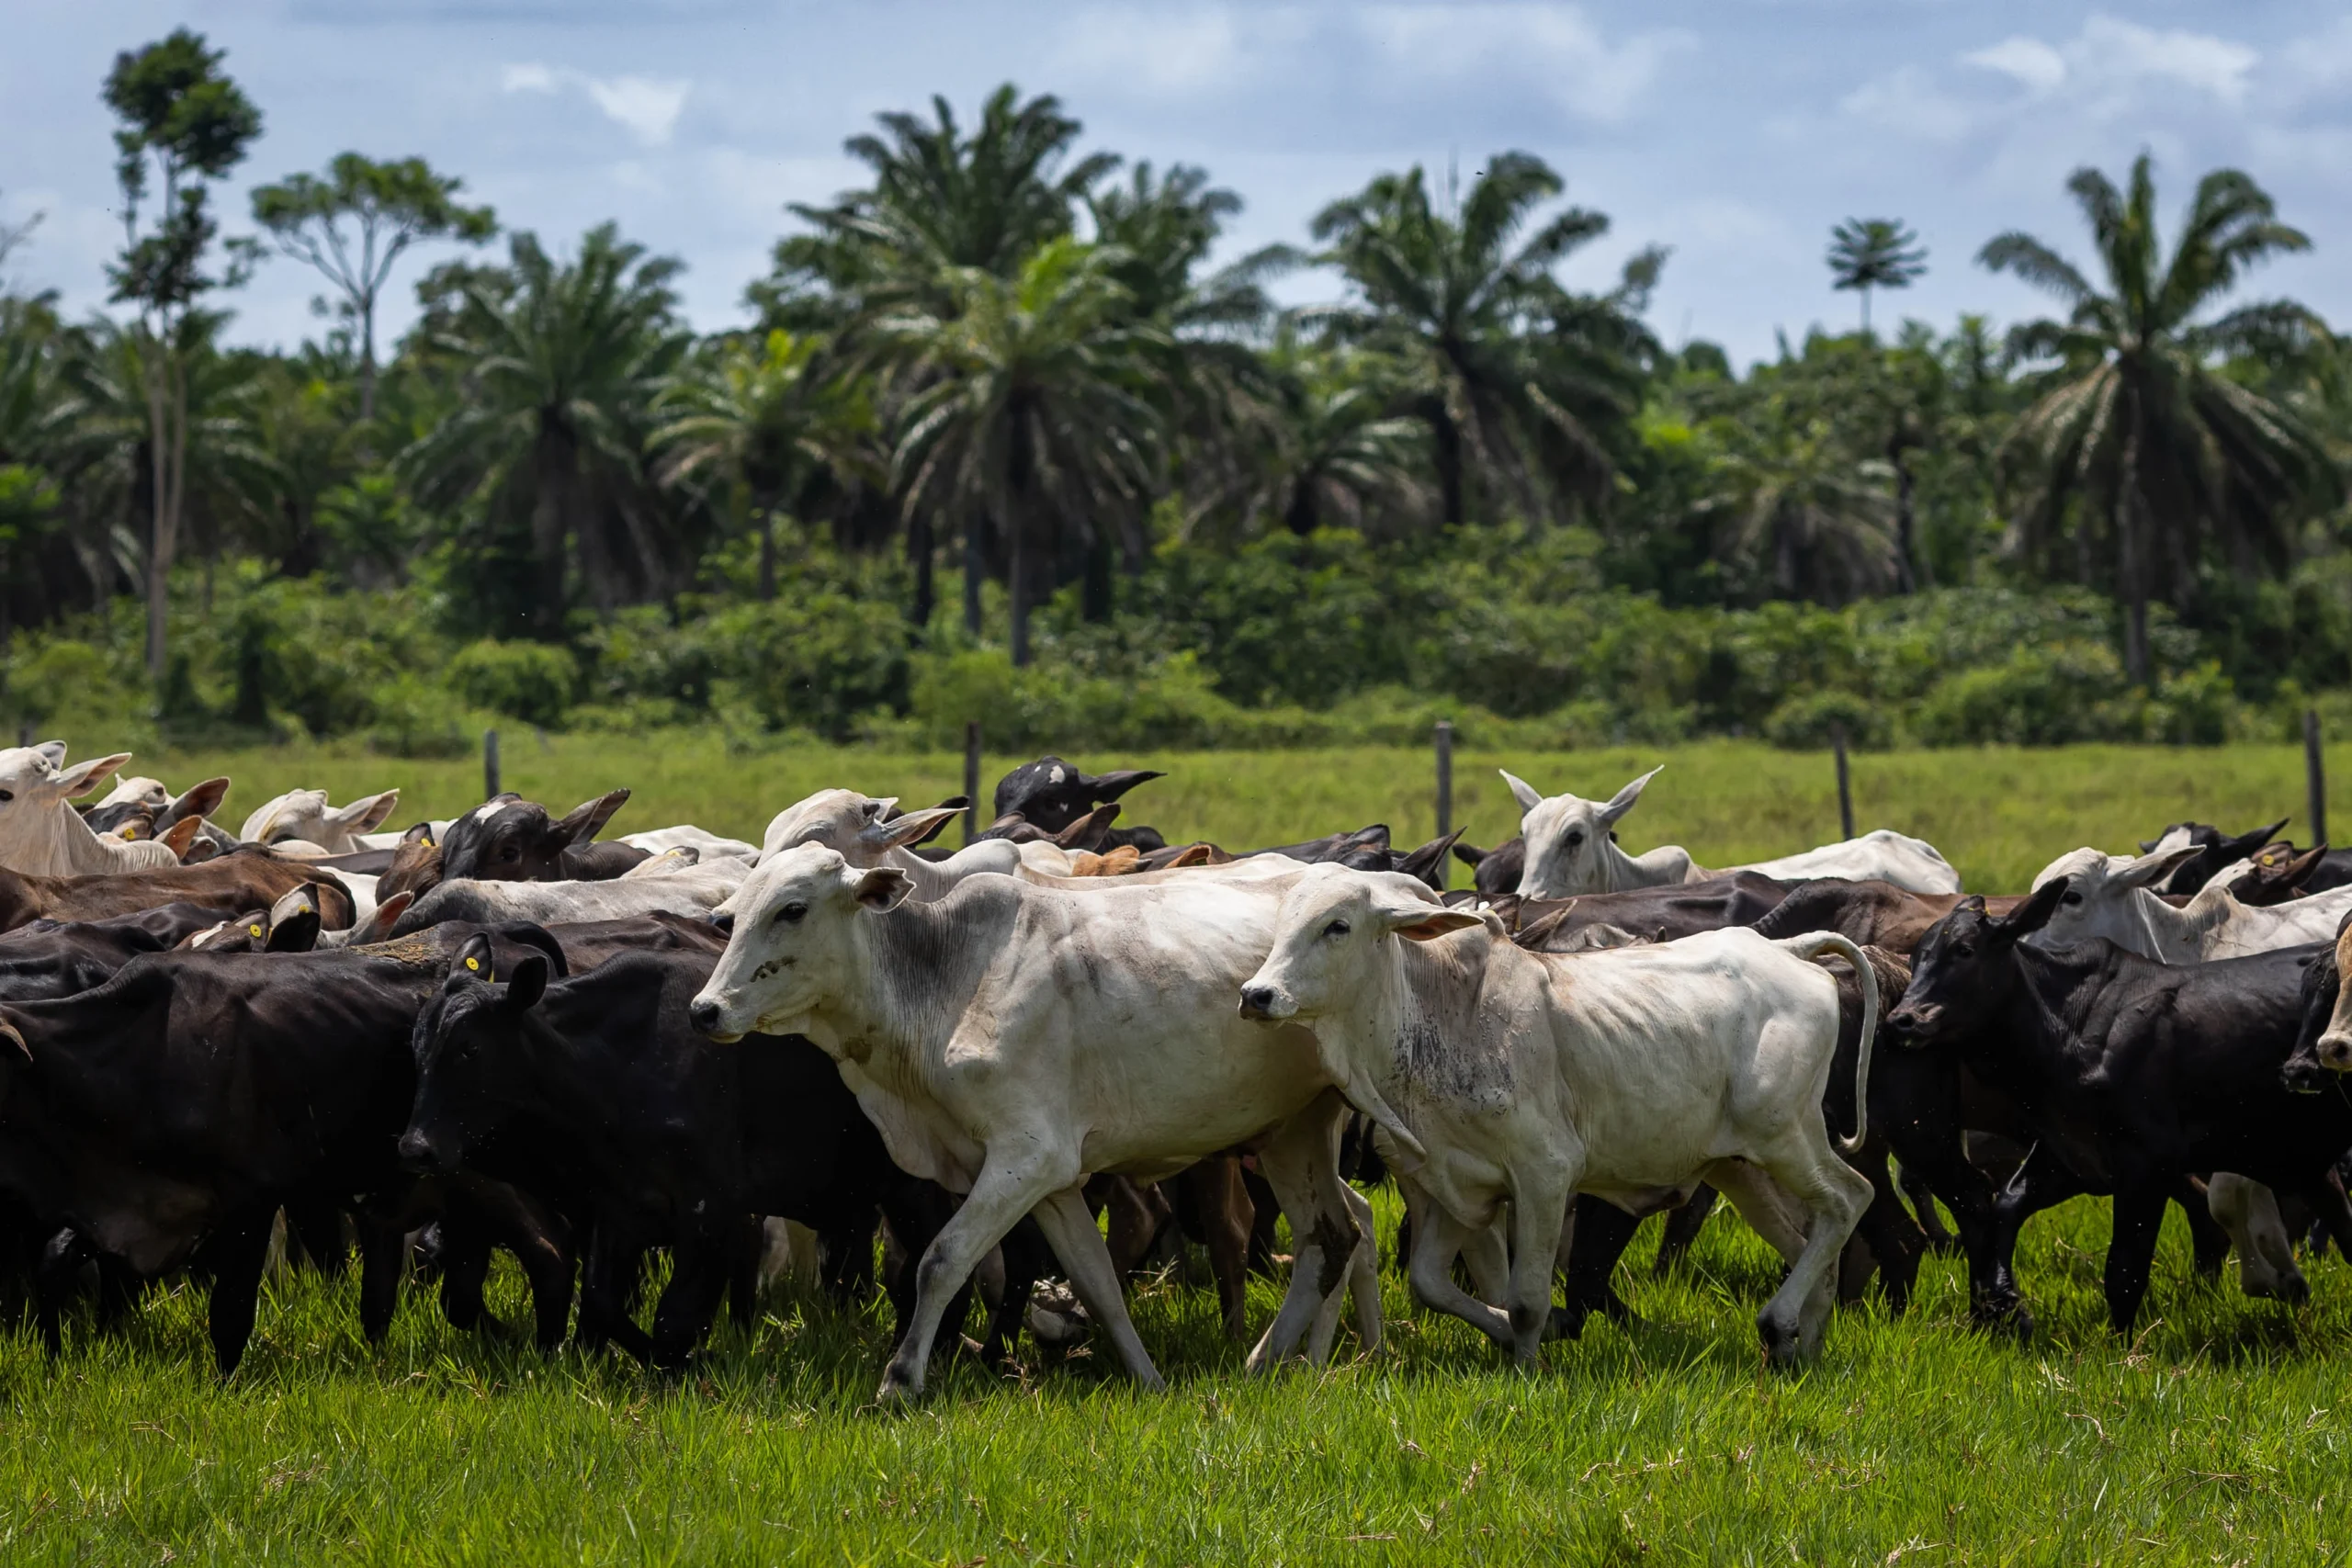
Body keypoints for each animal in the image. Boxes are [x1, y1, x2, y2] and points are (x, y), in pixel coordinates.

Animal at [688, 845, 1401, 1402]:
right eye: (734, 914)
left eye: (792, 909)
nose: (705, 1009)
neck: (944, 976)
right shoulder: (1054, 1182)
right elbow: (1097, 1281)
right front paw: (1149, 1380)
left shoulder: (1027, 1156)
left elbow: (941, 1259)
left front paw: (900, 1380)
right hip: (1291, 1130)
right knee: (1331, 1236)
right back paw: (1272, 1363)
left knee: (1330, 1235)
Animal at [1234, 863, 1879, 1365]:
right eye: (1283, 925)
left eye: (1337, 926)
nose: (1256, 995)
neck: (1440, 1015)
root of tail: (1787, 950)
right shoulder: (1452, 1185)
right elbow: (1430, 1284)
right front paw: (1522, 1335)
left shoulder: (1545, 1173)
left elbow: (1525, 1301)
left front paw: (1528, 1364)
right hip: (1738, 1166)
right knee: (1810, 1239)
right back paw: (1804, 1343)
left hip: (1786, 1138)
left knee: (1851, 1198)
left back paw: (1779, 1324)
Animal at [1884, 882, 2352, 1334]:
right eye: (1917, 955)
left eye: (1964, 950)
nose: (1902, 1020)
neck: (2069, 1028)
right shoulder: (2069, 1155)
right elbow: (2005, 1208)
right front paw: (2005, 1305)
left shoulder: (2146, 1165)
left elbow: (2124, 1270)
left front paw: (2121, 1346)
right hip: (2308, 1160)